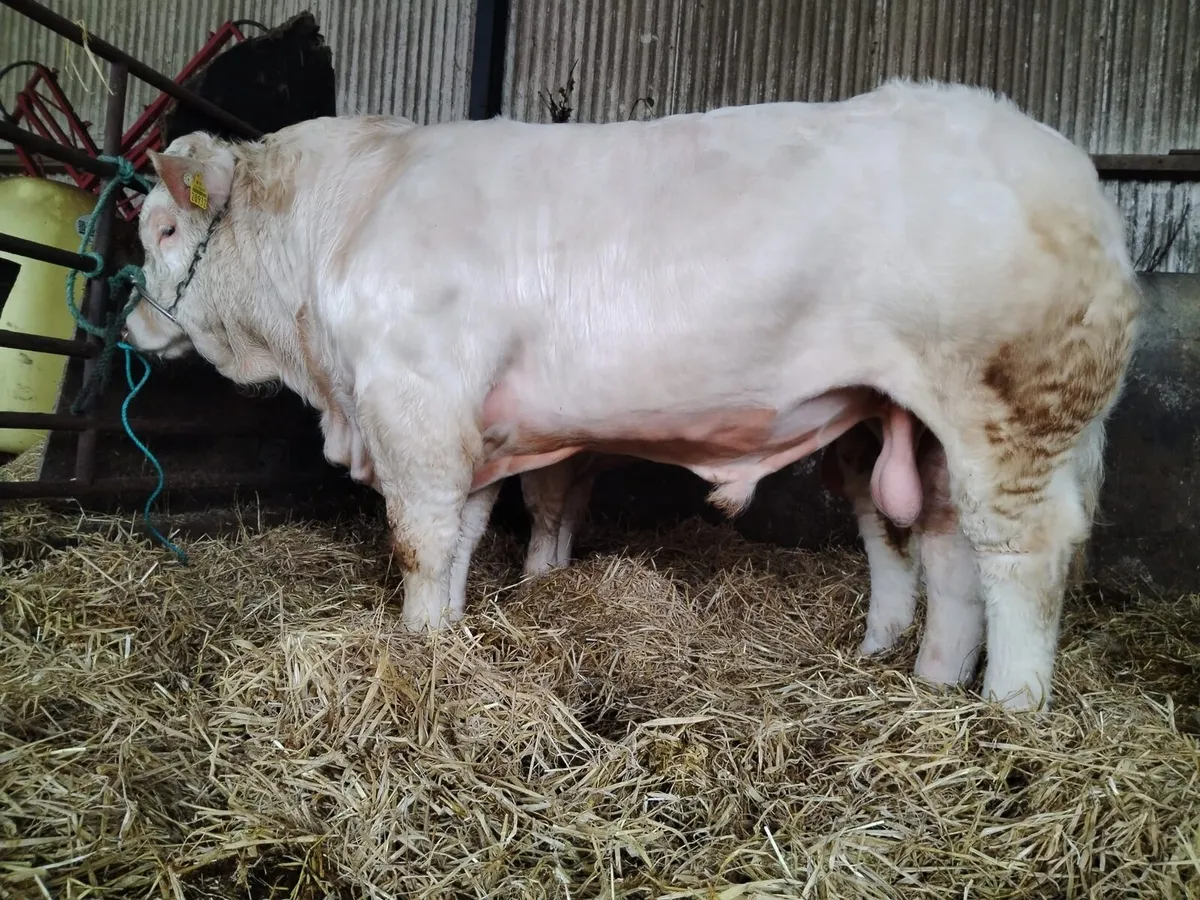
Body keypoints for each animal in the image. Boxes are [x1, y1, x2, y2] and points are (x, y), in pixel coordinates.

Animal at [122, 79, 1139, 711]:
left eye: (164, 228)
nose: (128, 320)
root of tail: (1071, 171)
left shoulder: (414, 400)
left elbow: (419, 540)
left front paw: (415, 645)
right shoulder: (471, 428)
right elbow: (465, 535)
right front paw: (448, 636)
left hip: (1007, 412)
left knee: (1022, 555)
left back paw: (1010, 709)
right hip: (923, 425)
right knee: (948, 547)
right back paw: (932, 683)